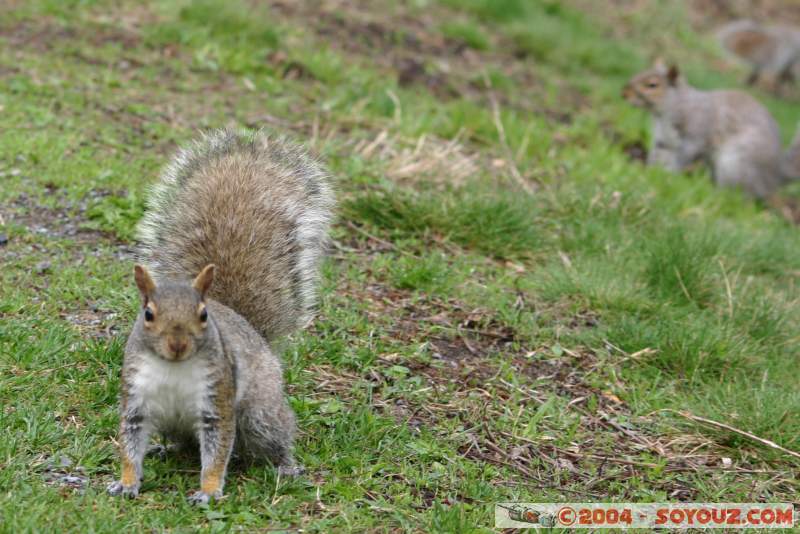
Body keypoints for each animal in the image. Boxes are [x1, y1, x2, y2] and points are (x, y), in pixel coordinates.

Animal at [107, 130, 334, 506]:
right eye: (148, 314)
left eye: (203, 315)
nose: (177, 345)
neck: (174, 368)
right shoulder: (137, 399)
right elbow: (130, 443)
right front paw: (126, 482)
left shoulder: (219, 403)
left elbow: (217, 453)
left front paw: (209, 491)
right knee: (185, 443)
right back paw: (164, 449)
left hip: (258, 413)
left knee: (274, 437)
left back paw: (285, 466)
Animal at [624, 59, 800, 201]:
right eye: (639, 73)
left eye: (652, 85)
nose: (624, 93)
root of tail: (775, 176)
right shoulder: (663, 140)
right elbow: (656, 155)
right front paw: (648, 171)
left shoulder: (696, 134)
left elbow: (684, 156)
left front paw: (670, 175)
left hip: (736, 165)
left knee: (743, 195)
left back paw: (718, 195)